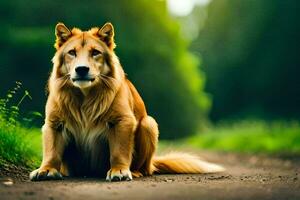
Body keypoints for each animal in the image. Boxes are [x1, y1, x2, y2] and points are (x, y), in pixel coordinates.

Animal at [29, 22, 224, 181]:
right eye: (72, 53)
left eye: (95, 53)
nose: (82, 69)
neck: (85, 97)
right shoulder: (54, 124)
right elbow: (51, 152)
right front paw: (46, 170)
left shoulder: (122, 121)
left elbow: (119, 152)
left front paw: (119, 171)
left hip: (148, 124)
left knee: (145, 168)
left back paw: (136, 172)